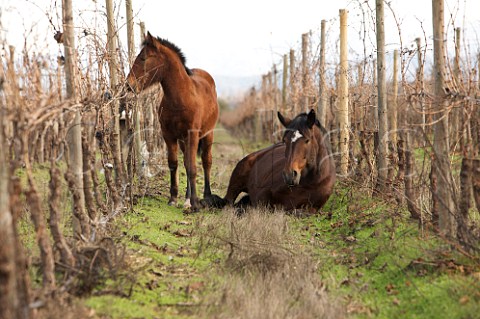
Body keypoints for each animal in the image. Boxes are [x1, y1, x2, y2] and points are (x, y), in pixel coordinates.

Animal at [126, 32, 218, 211]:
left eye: (143, 58)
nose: (129, 85)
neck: (180, 99)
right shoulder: (168, 136)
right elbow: (174, 164)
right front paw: (174, 198)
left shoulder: (192, 135)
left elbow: (193, 167)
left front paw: (196, 203)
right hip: (183, 141)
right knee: (186, 162)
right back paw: (187, 198)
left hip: (207, 135)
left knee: (206, 161)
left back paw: (206, 196)